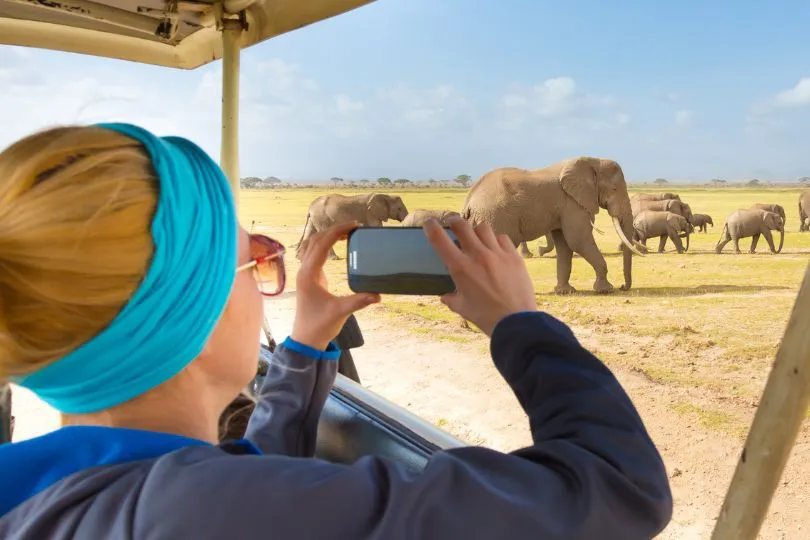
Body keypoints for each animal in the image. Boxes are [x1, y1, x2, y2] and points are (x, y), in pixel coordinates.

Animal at [460, 156, 644, 296]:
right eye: (614, 189)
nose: (623, 286)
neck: (592, 161)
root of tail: (469, 201)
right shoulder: (571, 203)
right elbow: (579, 240)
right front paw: (606, 290)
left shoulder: (564, 207)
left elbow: (565, 245)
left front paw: (565, 291)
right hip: (494, 218)